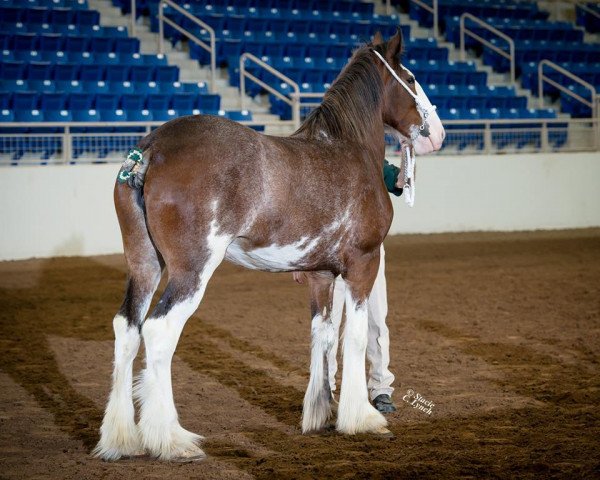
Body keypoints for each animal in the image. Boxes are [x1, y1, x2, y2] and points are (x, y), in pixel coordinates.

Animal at [94, 29, 446, 462]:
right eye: (411, 79)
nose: (438, 133)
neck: (348, 148)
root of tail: (151, 149)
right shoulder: (362, 264)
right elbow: (356, 337)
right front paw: (361, 418)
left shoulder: (320, 275)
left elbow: (323, 335)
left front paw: (320, 414)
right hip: (191, 271)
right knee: (159, 332)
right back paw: (172, 440)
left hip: (145, 264)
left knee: (127, 328)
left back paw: (120, 438)